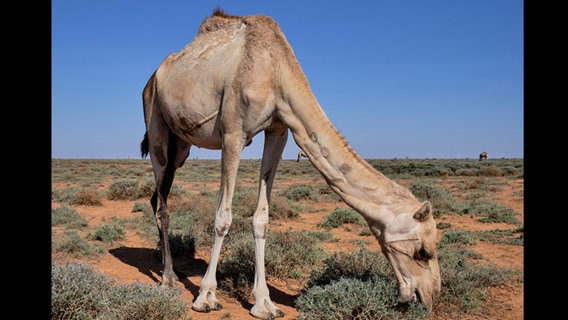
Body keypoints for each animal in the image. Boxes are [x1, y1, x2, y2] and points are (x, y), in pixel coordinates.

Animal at [140, 8, 442, 318]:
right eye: (423, 252)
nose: (429, 297)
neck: (275, 70)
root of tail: (152, 79)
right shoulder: (233, 133)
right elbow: (223, 216)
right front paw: (206, 296)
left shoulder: (279, 130)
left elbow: (261, 218)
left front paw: (264, 303)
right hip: (157, 127)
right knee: (162, 203)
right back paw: (168, 278)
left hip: (181, 147)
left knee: (157, 197)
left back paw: (170, 270)